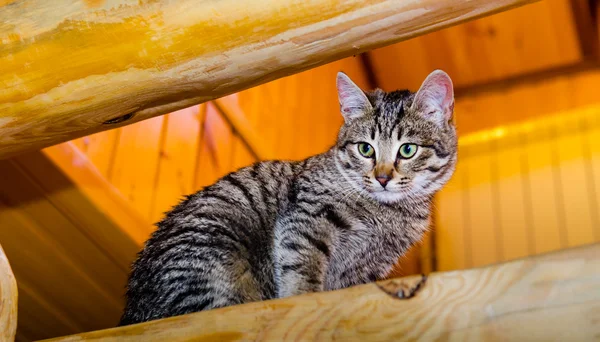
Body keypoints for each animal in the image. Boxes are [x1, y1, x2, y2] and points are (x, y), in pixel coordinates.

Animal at [119, 69, 458, 326]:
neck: (387, 213)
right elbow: (302, 265)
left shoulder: (372, 265)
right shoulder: (308, 217)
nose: (383, 177)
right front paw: (305, 297)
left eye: (407, 149)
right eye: (365, 149)